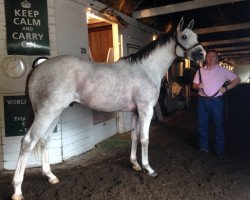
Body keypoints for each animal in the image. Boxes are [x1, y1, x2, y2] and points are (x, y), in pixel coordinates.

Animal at [12, 18, 205, 200]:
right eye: (184, 36)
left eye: (196, 36)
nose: (201, 54)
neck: (145, 70)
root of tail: (38, 67)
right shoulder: (145, 110)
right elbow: (144, 139)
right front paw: (148, 169)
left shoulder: (135, 112)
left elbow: (134, 136)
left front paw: (135, 164)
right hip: (46, 113)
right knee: (27, 142)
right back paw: (17, 189)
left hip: (54, 113)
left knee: (44, 140)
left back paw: (50, 176)